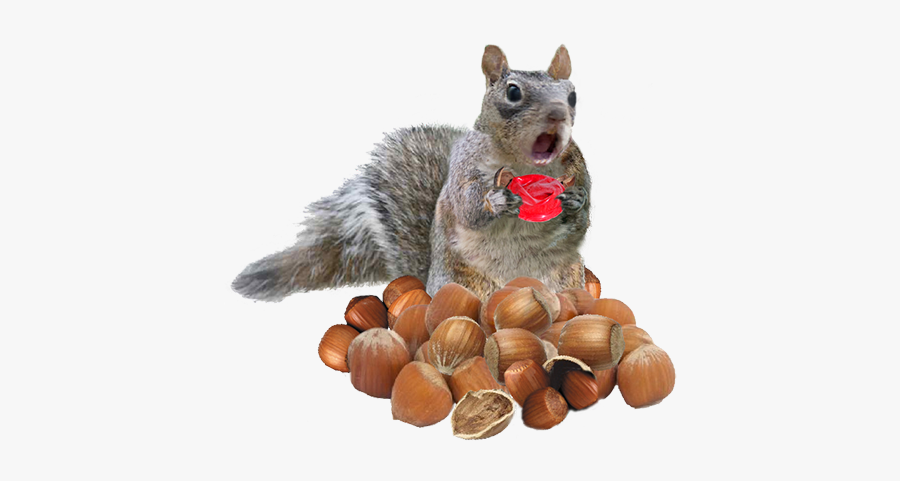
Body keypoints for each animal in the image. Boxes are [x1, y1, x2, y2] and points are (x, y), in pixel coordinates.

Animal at [232, 45, 590, 302]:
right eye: (513, 92)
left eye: (573, 95)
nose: (558, 114)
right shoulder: (464, 166)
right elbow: (467, 207)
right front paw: (499, 199)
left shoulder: (578, 165)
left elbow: (583, 215)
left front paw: (576, 199)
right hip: (463, 283)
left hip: (568, 277)